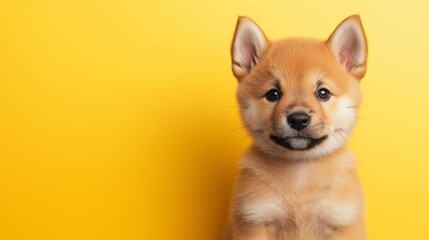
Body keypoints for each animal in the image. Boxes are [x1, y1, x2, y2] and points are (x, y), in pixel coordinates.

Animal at [227, 15, 368, 240]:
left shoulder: (340, 221)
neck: (300, 176)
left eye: (323, 93)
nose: (299, 119)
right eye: (273, 94)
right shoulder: (255, 219)